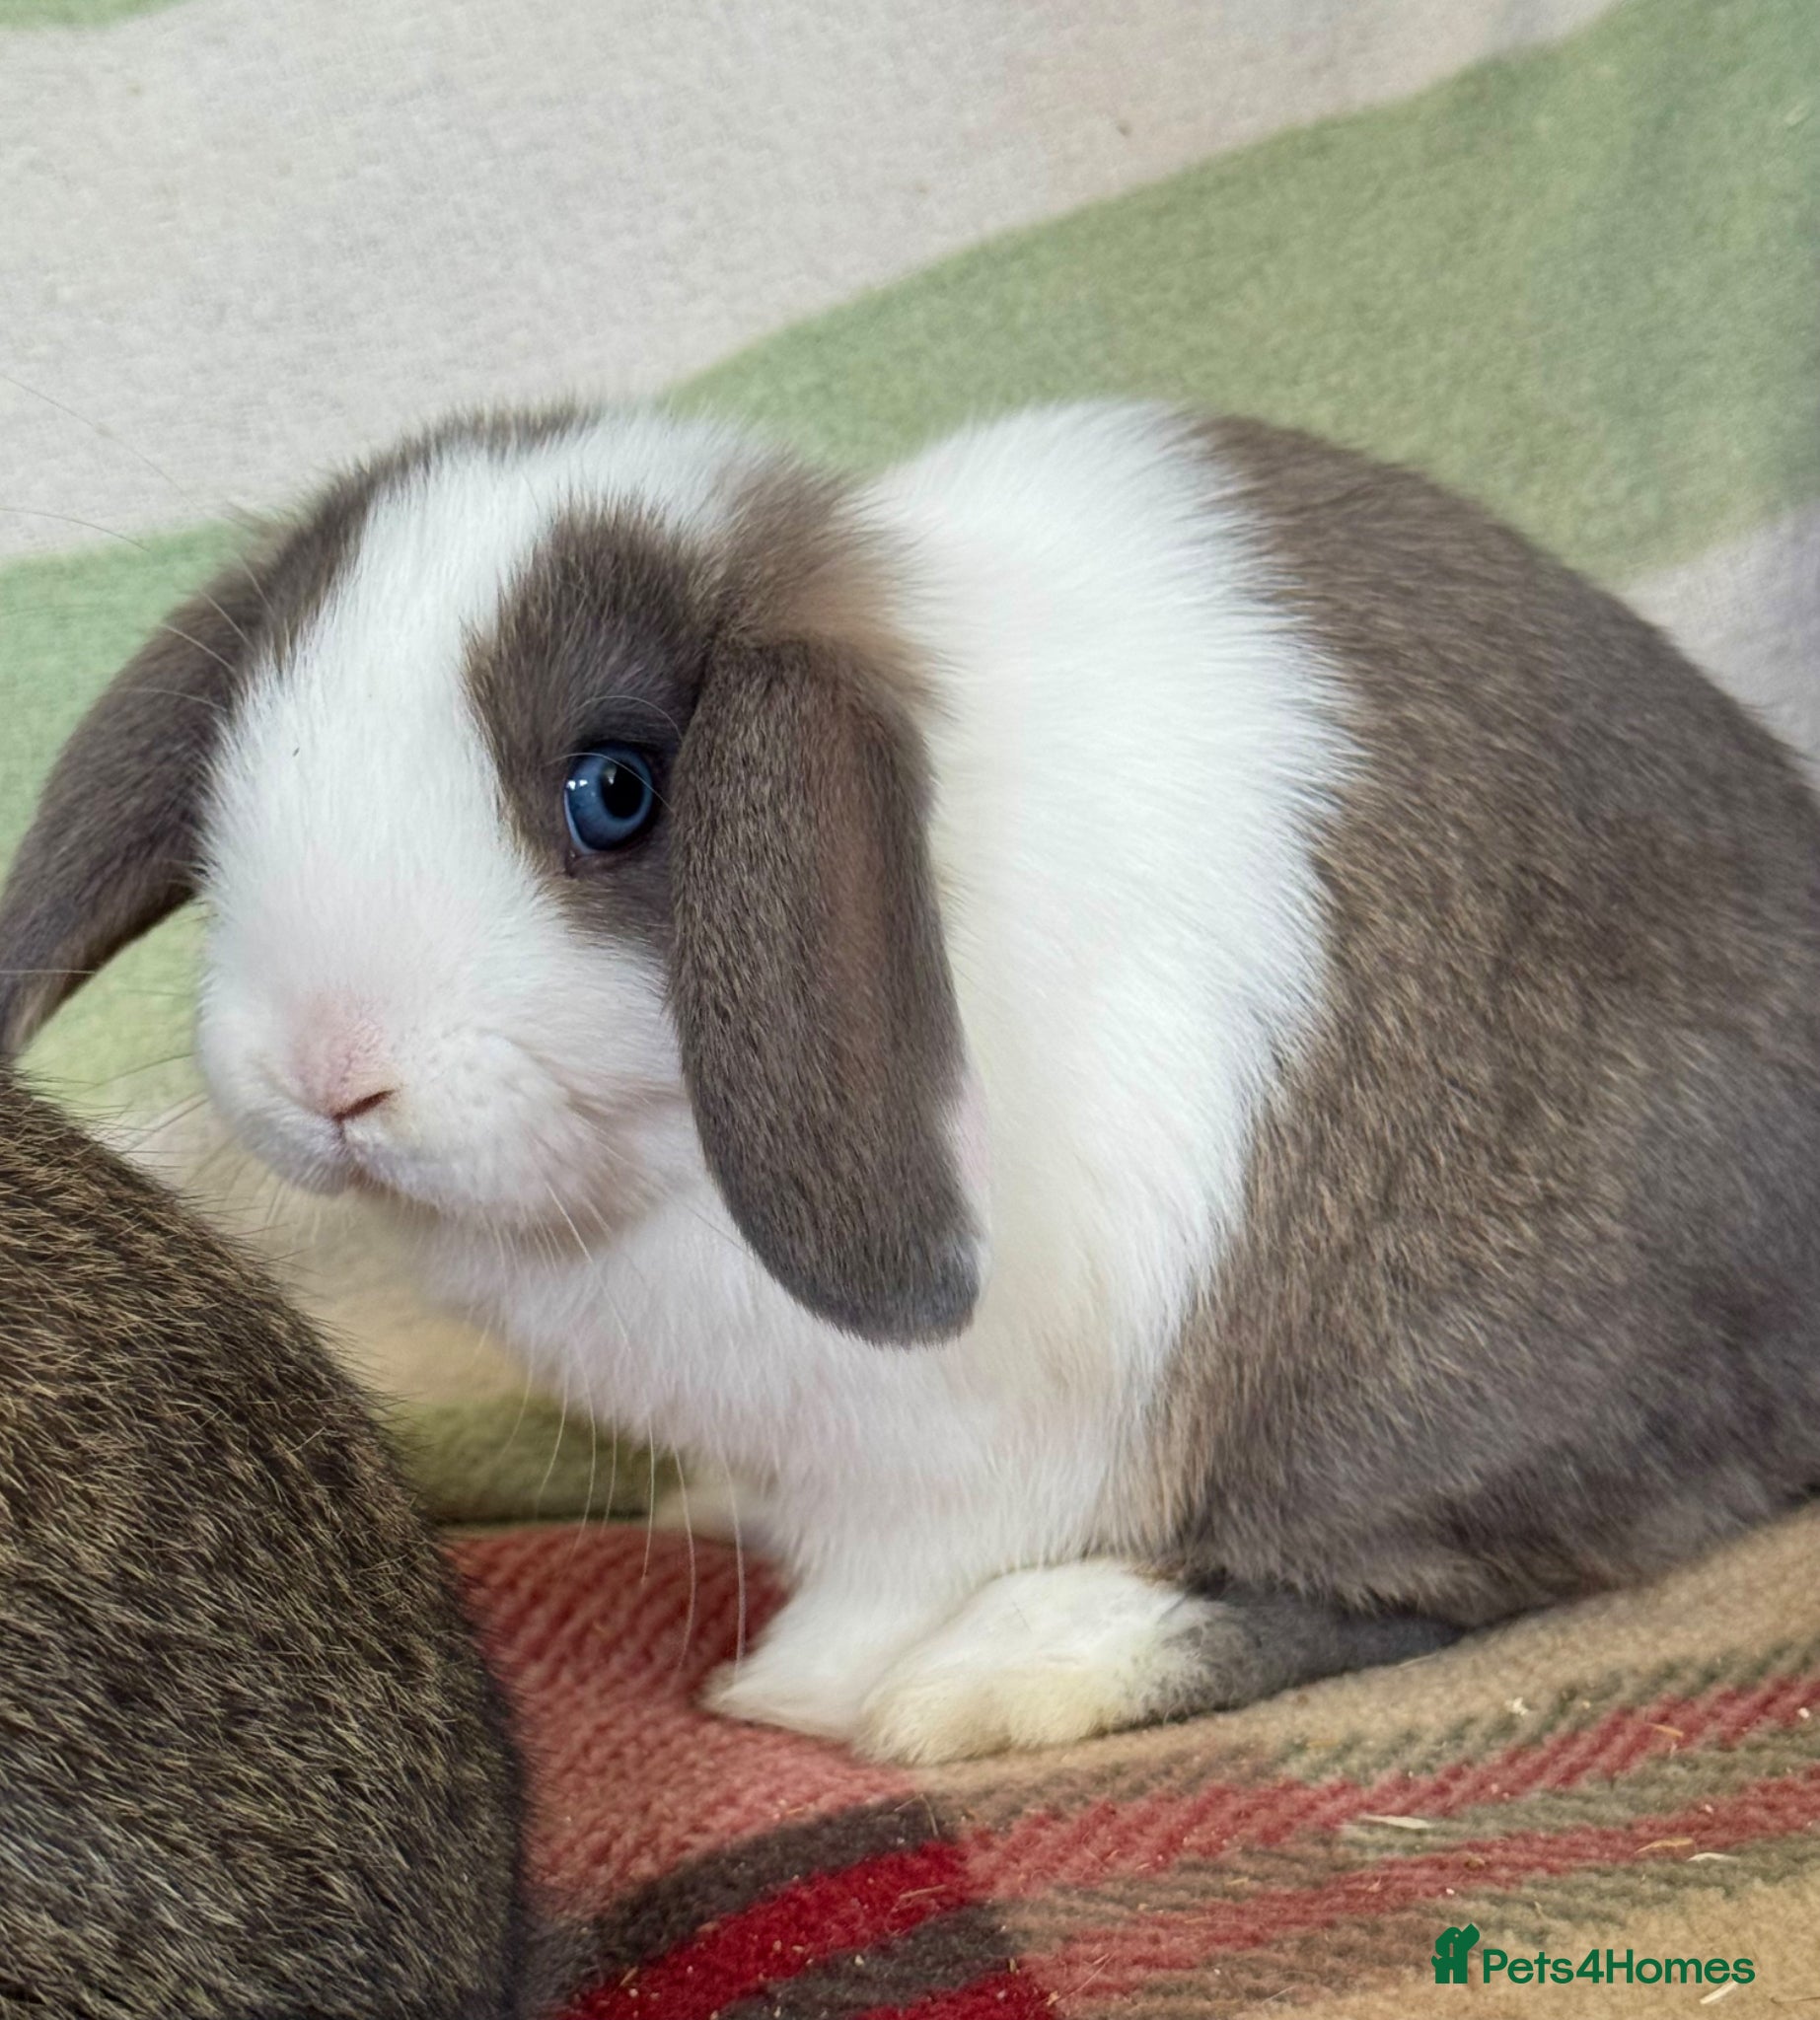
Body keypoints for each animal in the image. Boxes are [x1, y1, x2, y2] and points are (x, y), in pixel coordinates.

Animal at [3, 397, 1818, 1769]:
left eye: (616, 790)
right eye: (242, 742)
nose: (326, 1070)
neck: (657, 1183)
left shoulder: (964, 1455)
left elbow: (889, 1572)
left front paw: (794, 1688)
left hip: (1427, 1367)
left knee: (1440, 1574)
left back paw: (1006, 1671)